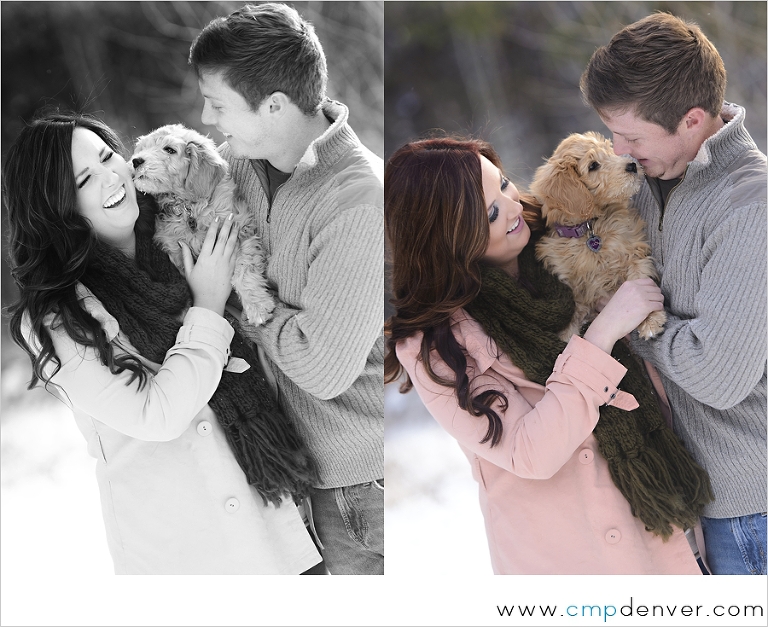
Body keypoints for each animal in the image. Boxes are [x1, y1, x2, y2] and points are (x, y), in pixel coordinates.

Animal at [130, 124, 274, 326]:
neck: (189, 207)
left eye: (169, 149)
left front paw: (257, 307)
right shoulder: (174, 250)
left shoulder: (241, 228)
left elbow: (244, 270)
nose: (136, 161)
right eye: (143, 148)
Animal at [528, 129, 664, 340]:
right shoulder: (574, 291)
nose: (632, 165)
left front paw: (651, 320)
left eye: (610, 150)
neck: (590, 228)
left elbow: (639, 277)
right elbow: (570, 325)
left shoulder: (634, 251)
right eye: (593, 166)